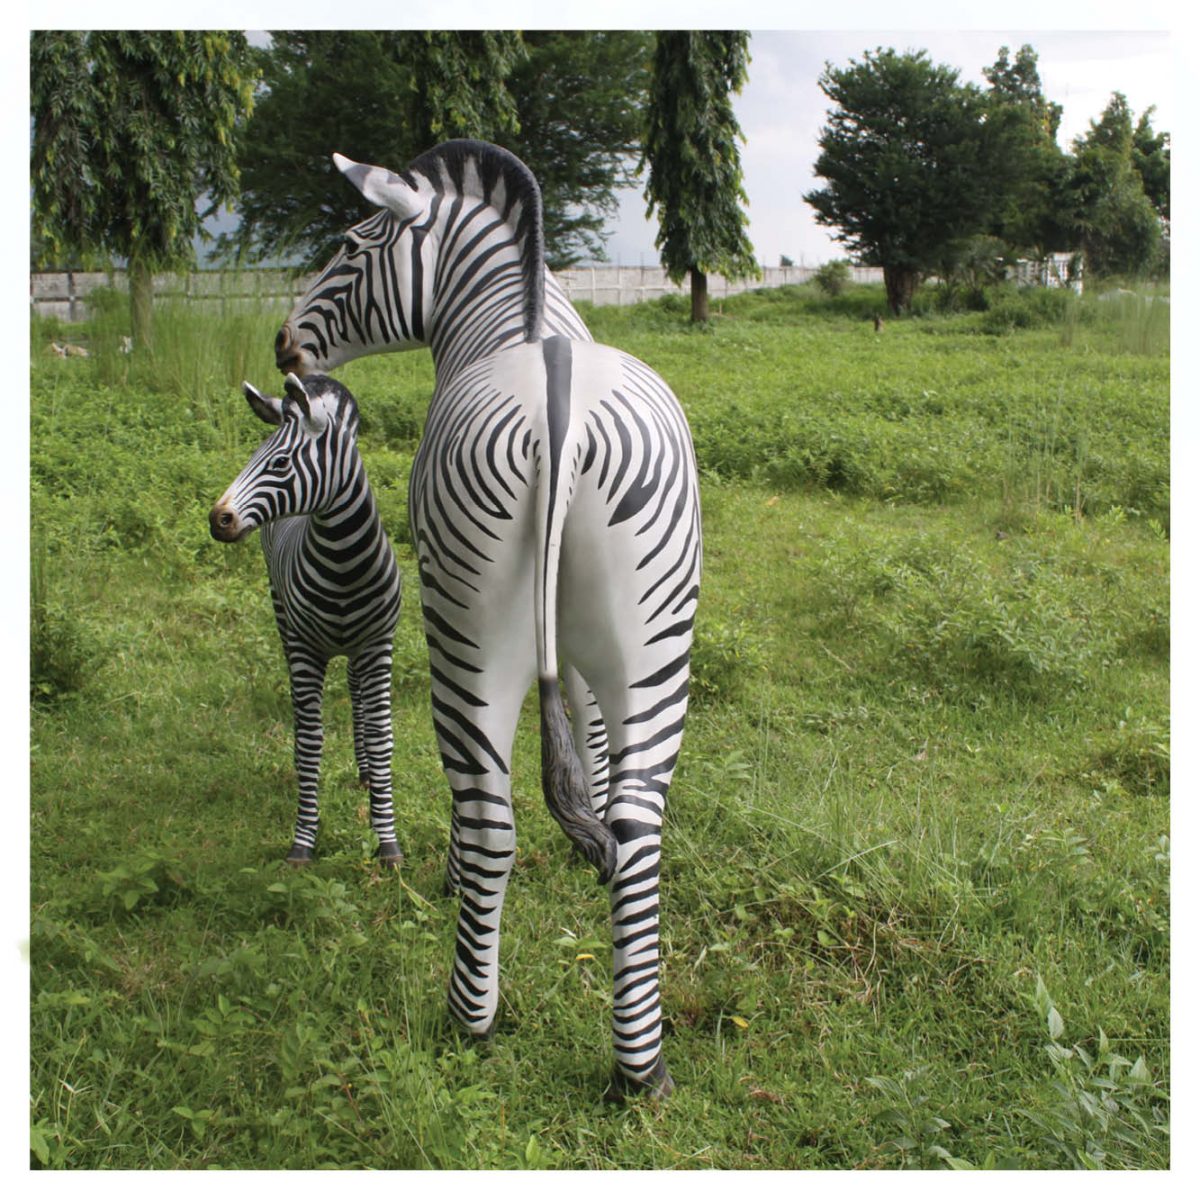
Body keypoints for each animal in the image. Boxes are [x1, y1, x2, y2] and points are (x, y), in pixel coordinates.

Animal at [209, 372, 403, 869]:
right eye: (251, 456)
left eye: (279, 463)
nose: (218, 519)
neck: (344, 560)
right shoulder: (304, 649)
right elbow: (310, 743)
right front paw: (303, 841)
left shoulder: (378, 646)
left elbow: (381, 738)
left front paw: (387, 840)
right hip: (280, 612)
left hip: (356, 648)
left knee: (355, 692)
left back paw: (365, 772)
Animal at [275, 140, 700, 1098]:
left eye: (351, 246)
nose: (284, 345)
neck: (522, 313)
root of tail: (561, 410)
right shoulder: (580, 650)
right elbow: (590, 739)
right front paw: (590, 842)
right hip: (657, 641)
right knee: (639, 824)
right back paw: (640, 1066)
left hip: (467, 636)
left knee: (488, 812)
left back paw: (469, 1017)